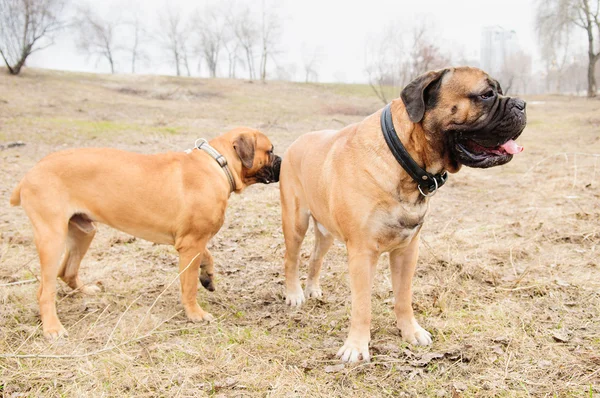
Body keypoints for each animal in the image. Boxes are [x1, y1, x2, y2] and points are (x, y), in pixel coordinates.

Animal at [9, 127, 282, 338]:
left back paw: (85, 291)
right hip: (52, 239)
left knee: (67, 272)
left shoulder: (191, 241)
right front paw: (195, 313)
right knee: (45, 290)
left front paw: (208, 275)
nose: (282, 162)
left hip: (83, 231)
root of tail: (30, 173)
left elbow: (207, 255)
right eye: (270, 151)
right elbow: (189, 285)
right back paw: (53, 328)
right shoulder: (190, 244)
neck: (218, 164)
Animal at [278, 67, 528, 362]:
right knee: (292, 259)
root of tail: (298, 140)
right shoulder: (362, 252)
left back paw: (313, 288)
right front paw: (356, 346)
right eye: (486, 95)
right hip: (295, 221)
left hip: (326, 230)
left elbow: (403, 297)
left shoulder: (407, 250)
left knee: (316, 257)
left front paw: (411, 332)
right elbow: (362, 305)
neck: (405, 159)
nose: (522, 104)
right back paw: (294, 294)